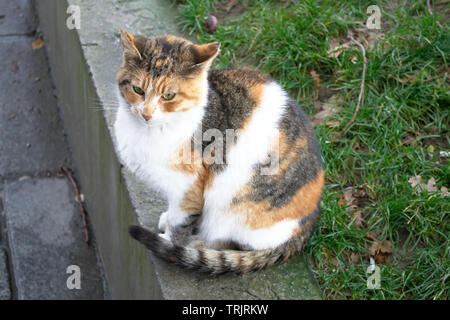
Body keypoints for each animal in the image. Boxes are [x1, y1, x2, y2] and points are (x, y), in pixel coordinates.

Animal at [113, 31, 324, 274]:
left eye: (168, 95)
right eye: (138, 90)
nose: (146, 114)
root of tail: (308, 226)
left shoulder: (188, 187)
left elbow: (180, 222)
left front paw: (170, 240)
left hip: (234, 207)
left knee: (232, 243)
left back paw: (199, 245)